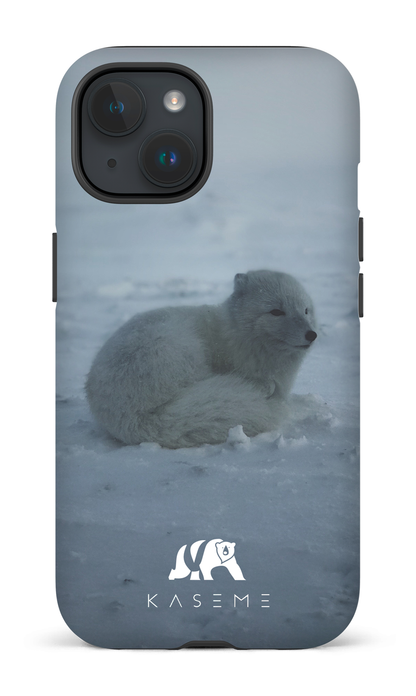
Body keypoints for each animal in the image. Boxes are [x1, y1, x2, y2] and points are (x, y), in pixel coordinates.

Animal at [86, 270, 317, 448]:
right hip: (179, 349)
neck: (235, 335)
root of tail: (132, 417)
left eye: (305, 310)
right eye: (276, 311)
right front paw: (265, 386)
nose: (312, 334)